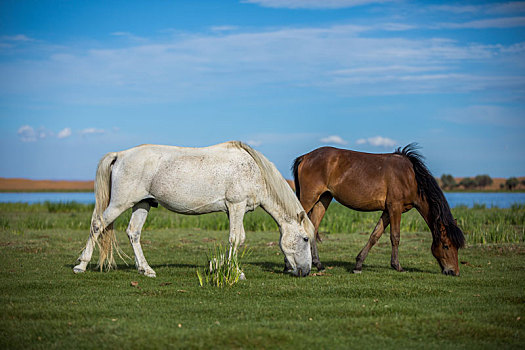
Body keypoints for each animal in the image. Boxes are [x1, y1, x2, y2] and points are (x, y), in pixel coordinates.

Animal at [72, 141, 314, 278]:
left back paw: (146, 269)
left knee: (133, 233)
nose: (305, 272)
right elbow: (236, 238)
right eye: (305, 239)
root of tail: (120, 155)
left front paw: (223, 266)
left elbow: (236, 238)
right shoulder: (236, 205)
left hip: (143, 204)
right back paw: (81, 265)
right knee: (98, 225)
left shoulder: (233, 210)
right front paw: (235, 271)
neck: (254, 171)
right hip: (120, 203)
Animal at [288, 144, 464, 274]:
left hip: (323, 199)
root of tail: (306, 157)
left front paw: (358, 265)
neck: (410, 177)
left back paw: (318, 264)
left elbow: (375, 235)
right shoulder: (395, 208)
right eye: (446, 245)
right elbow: (395, 236)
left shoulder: (387, 210)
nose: (454, 272)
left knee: (312, 227)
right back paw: (289, 265)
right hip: (308, 198)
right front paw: (397, 266)